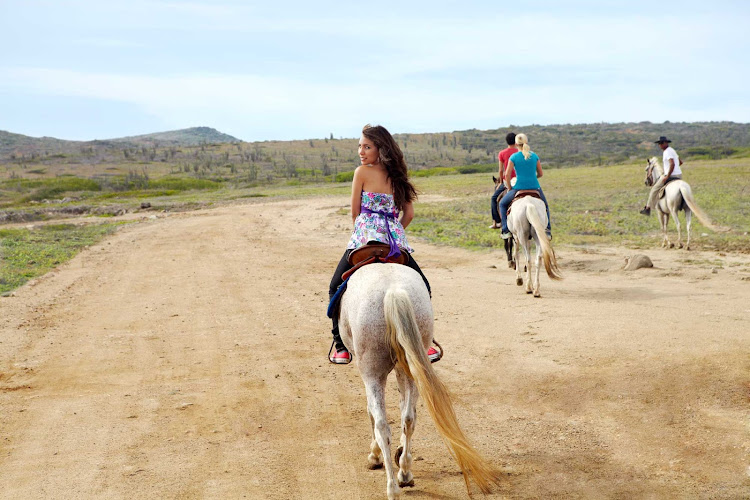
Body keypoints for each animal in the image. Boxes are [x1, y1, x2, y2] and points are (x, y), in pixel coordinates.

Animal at [340, 264, 506, 498]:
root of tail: (394, 291)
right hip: (412, 364)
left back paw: (392, 486)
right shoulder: (403, 367)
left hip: (372, 370)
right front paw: (400, 452)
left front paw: (375, 455)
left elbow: (371, 412)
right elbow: (404, 409)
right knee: (409, 418)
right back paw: (405, 473)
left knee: (382, 423)